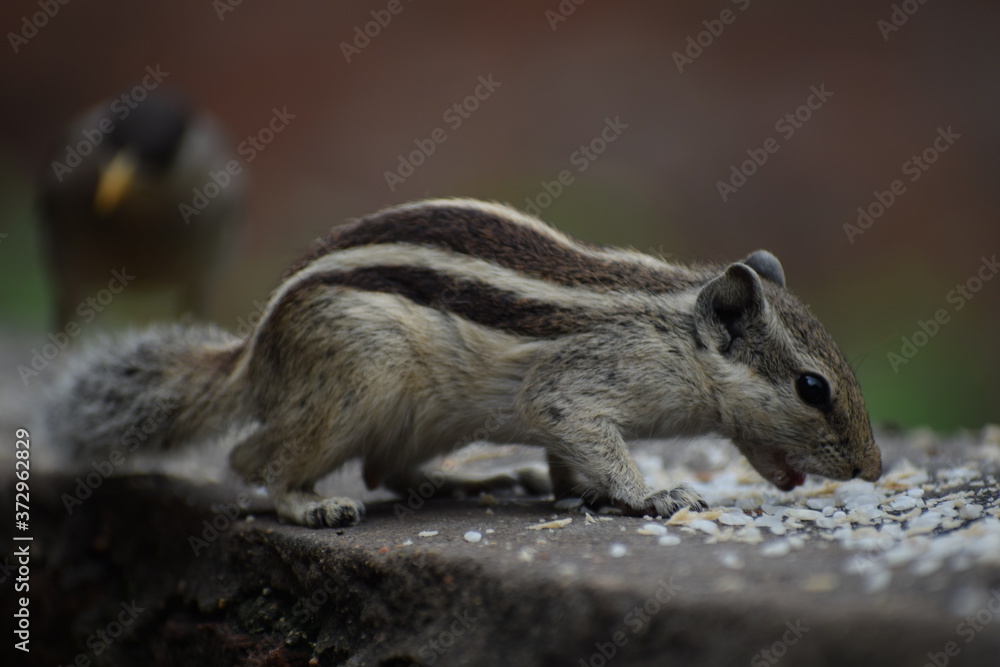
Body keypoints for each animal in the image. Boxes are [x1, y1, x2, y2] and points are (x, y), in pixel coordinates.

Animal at [43, 198, 882, 528]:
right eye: (813, 387)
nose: (871, 469)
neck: (677, 331)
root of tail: (255, 354)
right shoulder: (576, 385)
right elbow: (582, 430)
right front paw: (650, 494)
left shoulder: (569, 406)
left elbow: (569, 456)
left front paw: (581, 490)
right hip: (357, 380)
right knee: (254, 457)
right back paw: (308, 504)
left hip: (420, 416)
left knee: (385, 468)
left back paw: (470, 480)